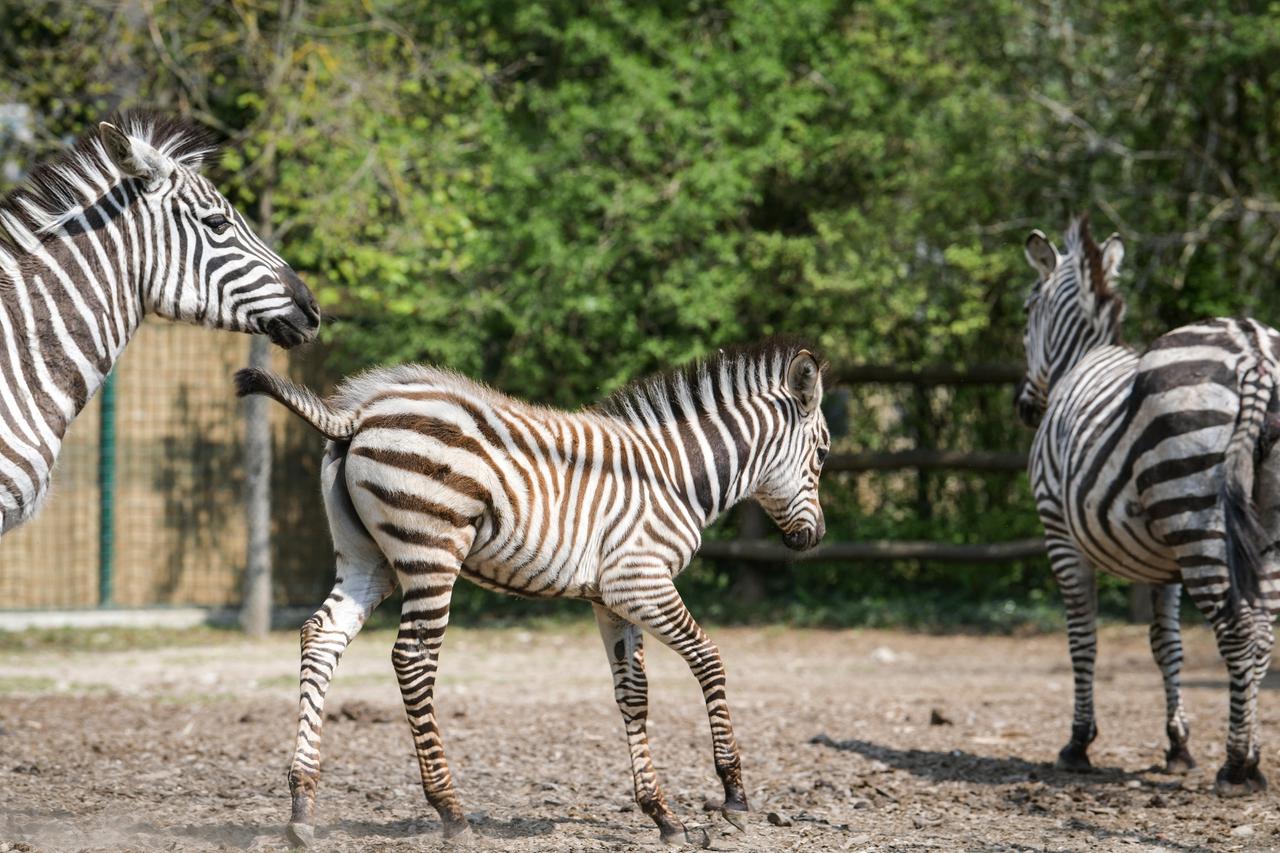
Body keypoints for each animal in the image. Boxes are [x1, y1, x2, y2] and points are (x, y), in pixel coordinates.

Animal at [234, 339, 830, 847]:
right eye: (823, 453)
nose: (814, 538)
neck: (676, 477)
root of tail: (359, 414)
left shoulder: (611, 599)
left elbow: (633, 695)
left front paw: (662, 815)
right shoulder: (641, 580)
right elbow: (709, 660)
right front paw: (733, 796)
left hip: (368, 560)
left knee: (320, 638)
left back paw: (302, 809)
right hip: (432, 552)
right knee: (412, 659)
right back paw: (450, 811)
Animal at [1015, 216, 1280, 795]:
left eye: (1026, 311)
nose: (1025, 408)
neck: (1081, 360)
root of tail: (1252, 349)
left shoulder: (1059, 534)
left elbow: (1083, 638)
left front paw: (1077, 744)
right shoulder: (1162, 562)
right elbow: (1166, 644)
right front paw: (1178, 744)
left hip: (1197, 514)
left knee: (1239, 631)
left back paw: (1237, 765)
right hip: (1257, 526)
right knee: (1263, 632)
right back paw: (1250, 755)